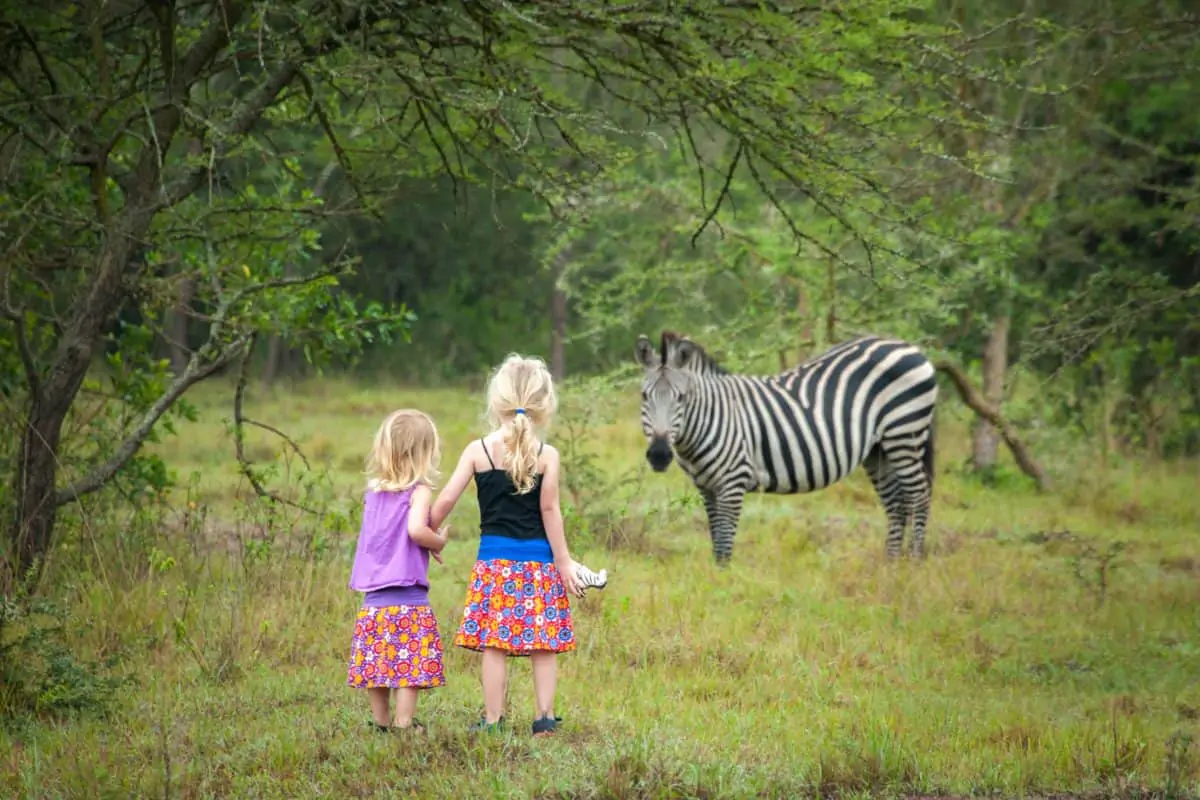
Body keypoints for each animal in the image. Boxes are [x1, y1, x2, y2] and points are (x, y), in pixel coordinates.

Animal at [633, 331, 940, 563]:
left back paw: (913, 562)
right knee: (896, 503)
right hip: (880, 449)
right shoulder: (707, 487)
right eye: (644, 396)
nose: (659, 455)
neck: (713, 416)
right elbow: (716, 540)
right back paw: (891, 565)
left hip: (904, 434)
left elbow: (725, 542)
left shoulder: (733, 481)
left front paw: (724, 584)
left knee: (919, 495)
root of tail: (907, 345)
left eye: (681, 398)